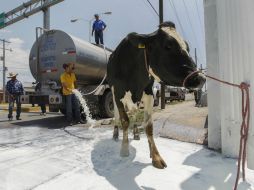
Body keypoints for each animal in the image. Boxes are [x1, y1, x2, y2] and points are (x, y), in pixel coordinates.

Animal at [106, 21, 205, 168]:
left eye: (187, 47)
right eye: (168, 45)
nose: (201, 78)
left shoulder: (148, 92)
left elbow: (148, 125)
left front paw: (156, 156)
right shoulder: (118, 93)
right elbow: (124, 120)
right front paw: (124, 149)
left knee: (134, 113)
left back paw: (136, 133)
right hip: (113, 93)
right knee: (118, 116)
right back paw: (116, 133)